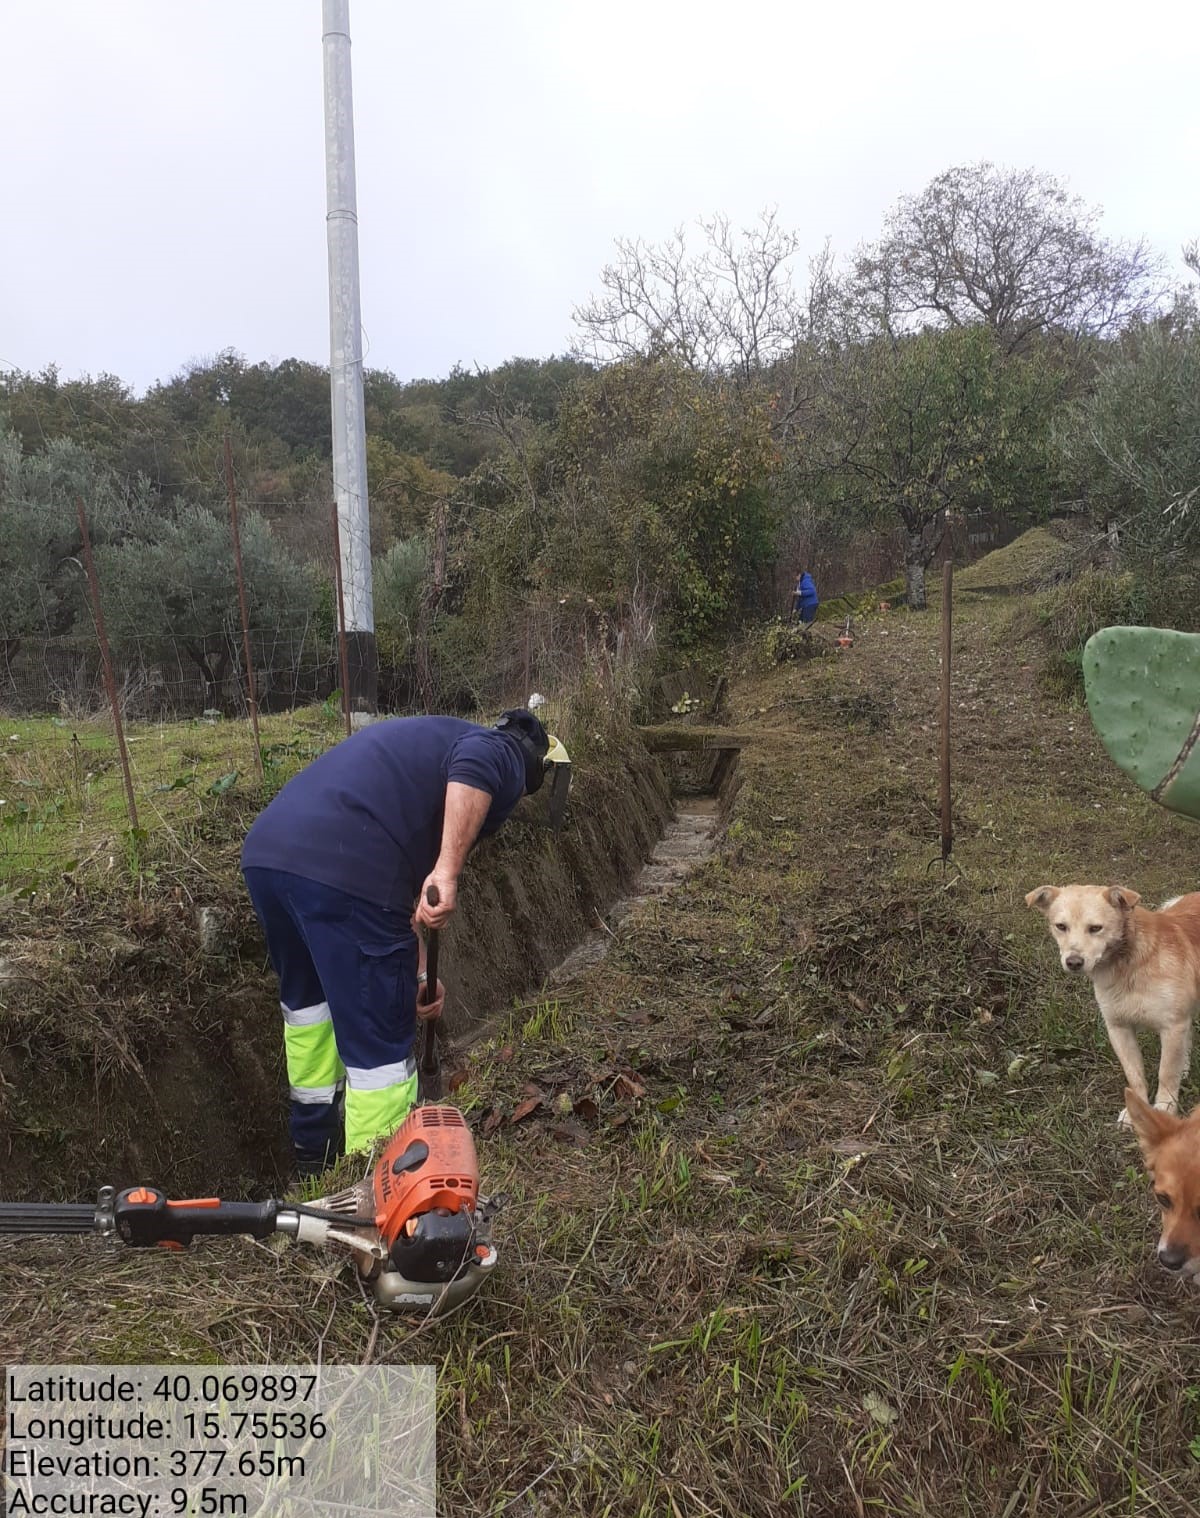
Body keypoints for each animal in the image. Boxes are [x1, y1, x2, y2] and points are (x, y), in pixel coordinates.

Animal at [1025, 886, 1200, 1123]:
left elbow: (1166, 1072)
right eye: (1061, 926)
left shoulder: (1173, 1026)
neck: (1129, 966)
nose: (1073, 962)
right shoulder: (1118, 1027)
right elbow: (1134, 1074)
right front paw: (1137, 1112)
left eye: (1095, 928)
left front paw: (1164, 1109)